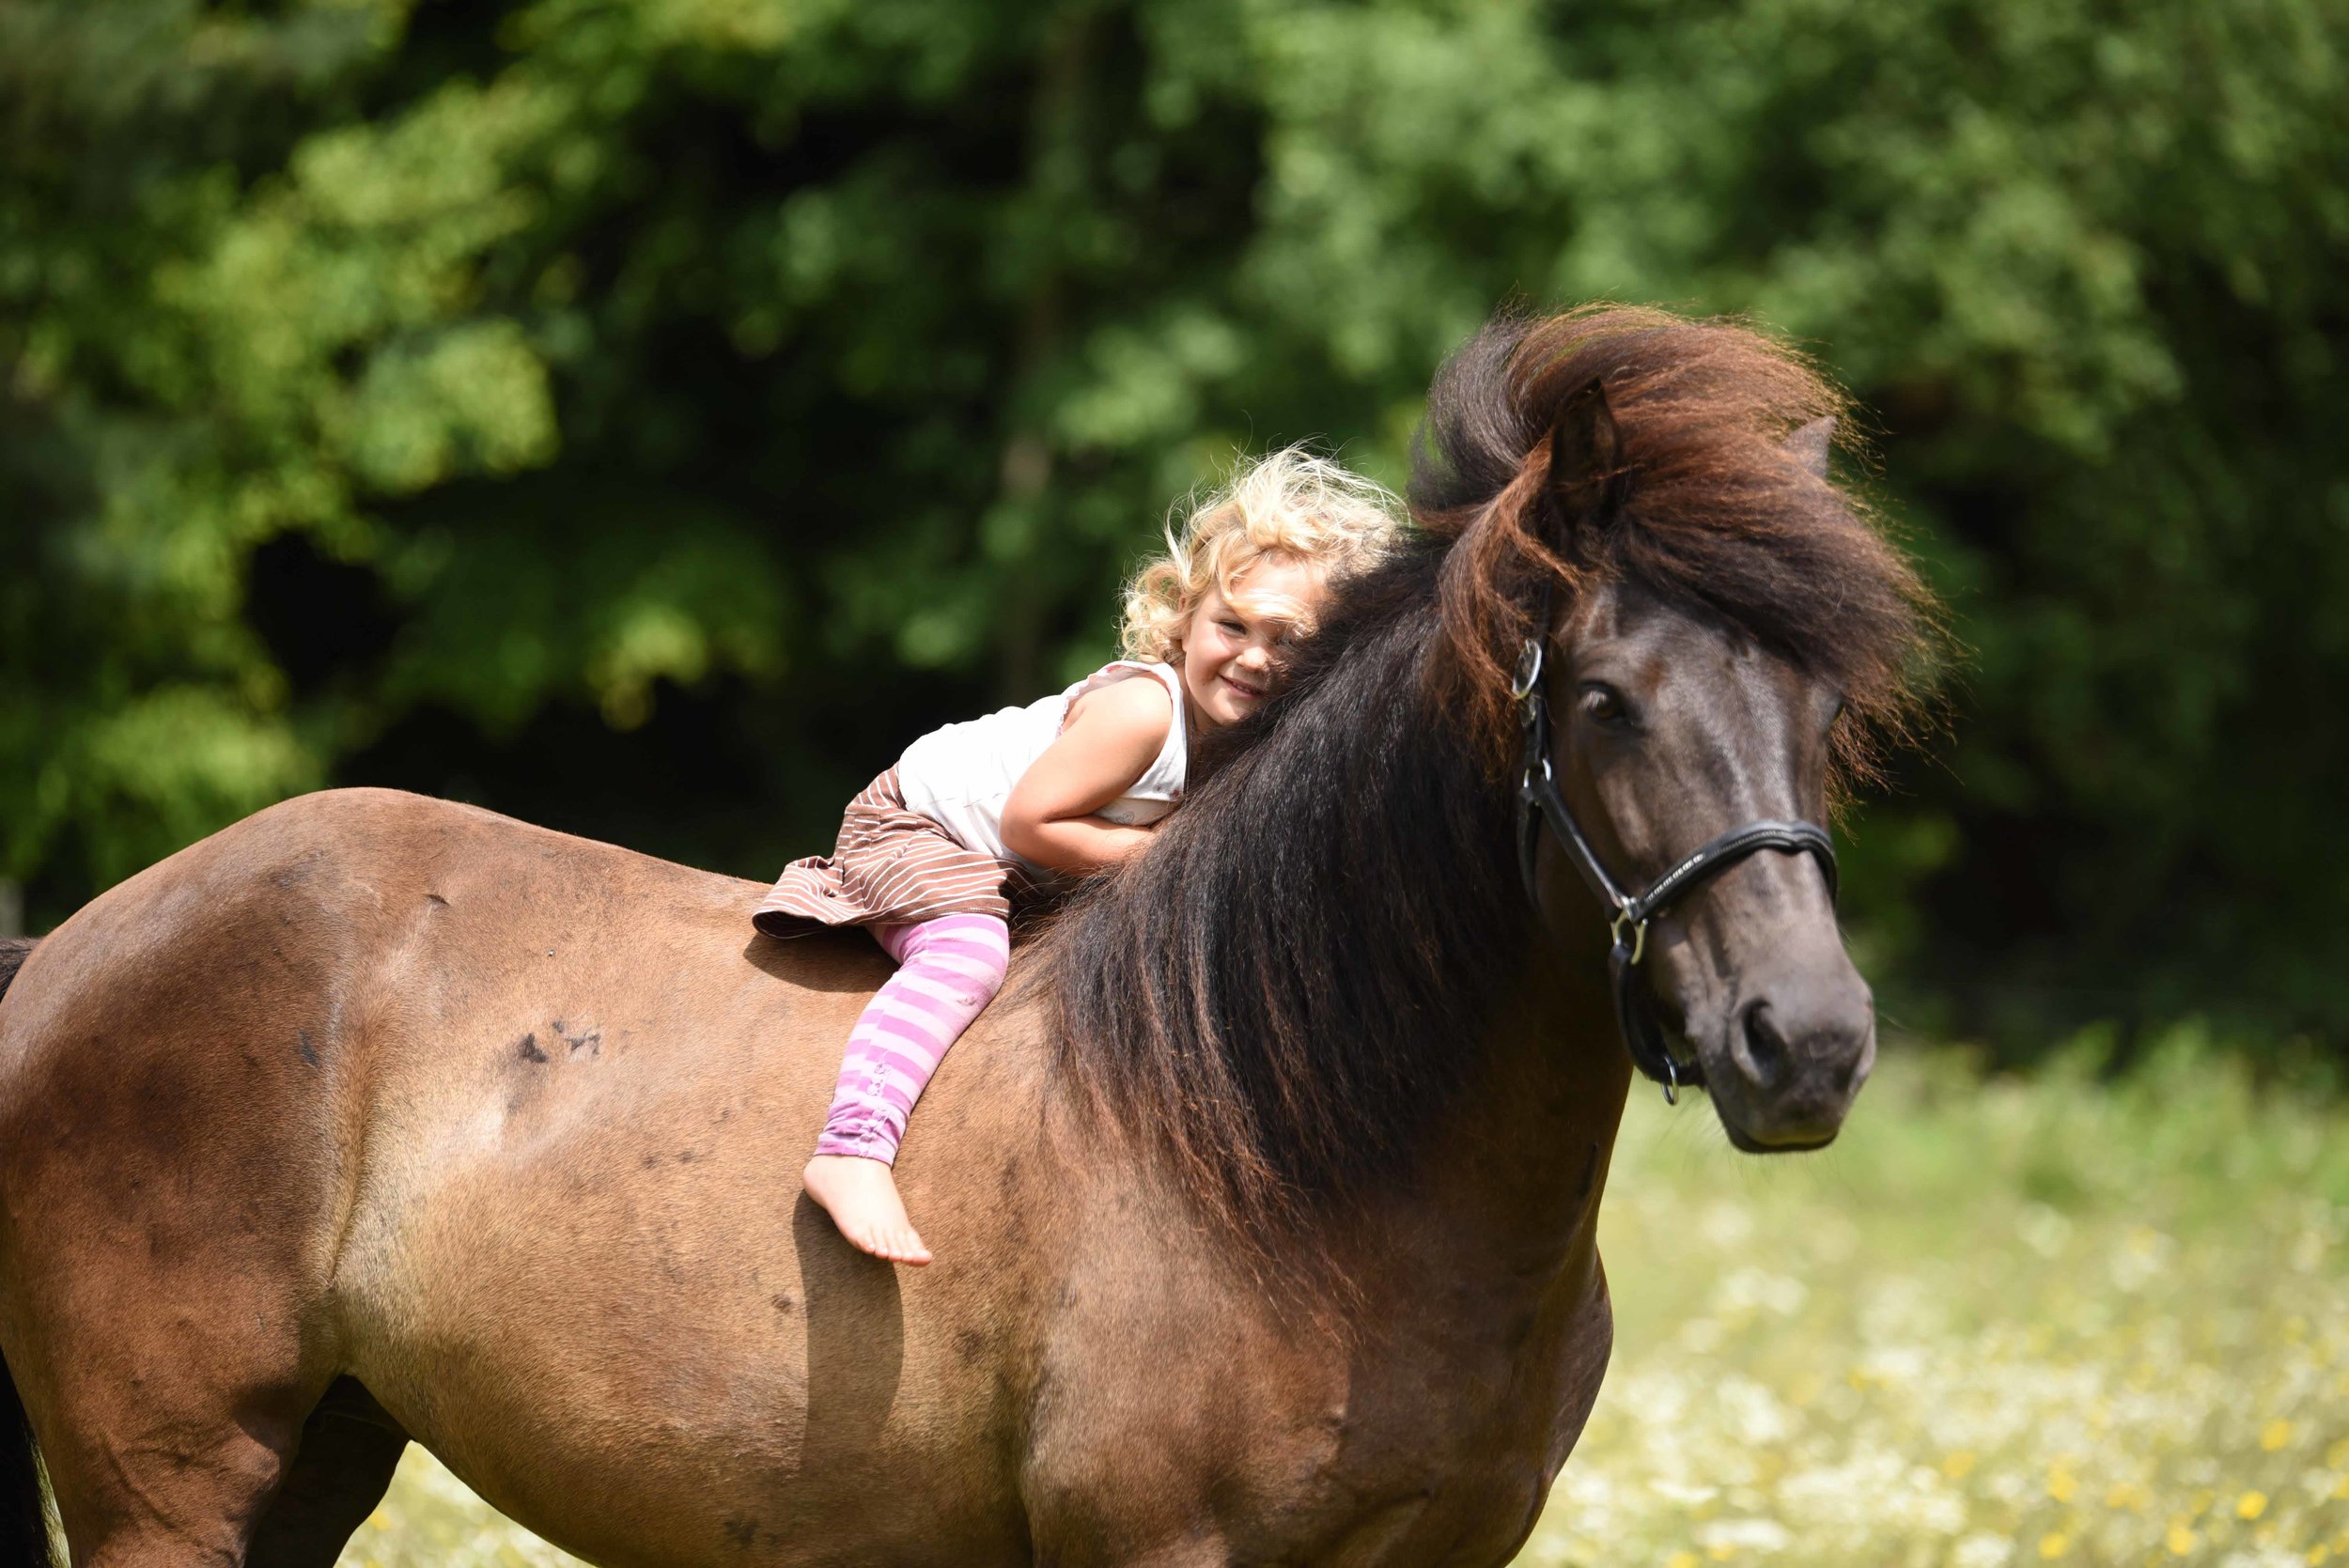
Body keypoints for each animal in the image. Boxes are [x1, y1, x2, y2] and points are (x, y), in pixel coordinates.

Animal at [0, 309, 1926, 1568]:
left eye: (1826, 707)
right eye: (1605, 699)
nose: (1811, 1041)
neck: (1292, 1155)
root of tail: (77, 946)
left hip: (316, 1457)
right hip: (167, 1488)